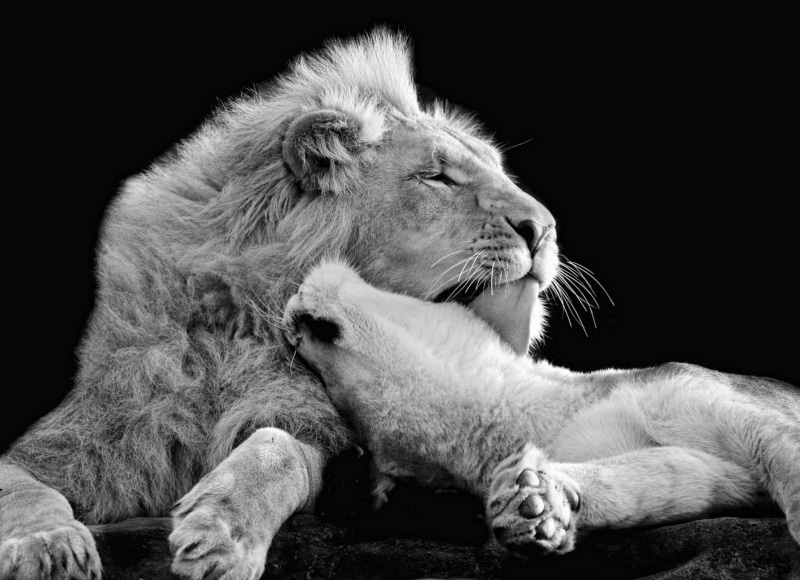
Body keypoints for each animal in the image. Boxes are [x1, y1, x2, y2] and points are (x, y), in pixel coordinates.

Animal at [0, 29, 561, 579]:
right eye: (436, 177)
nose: (545, 229)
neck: (246, 326)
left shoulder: (321, 442)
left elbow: (280, 449)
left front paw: (223, 533)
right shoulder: (84, 435)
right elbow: (20, 487)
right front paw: (46, 544)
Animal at [282, 260, 800, 555]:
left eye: (322, 332)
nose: (292, 319)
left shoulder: (710, 399)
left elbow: (781, 449)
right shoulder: (716, 476)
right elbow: (647, 482)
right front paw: (532, 506)